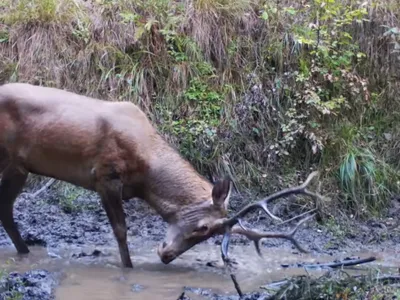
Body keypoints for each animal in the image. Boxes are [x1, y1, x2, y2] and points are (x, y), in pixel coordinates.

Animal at [0, 82, 324, 270]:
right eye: (204, 228)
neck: (146, 176)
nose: (166, 255)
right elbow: (120, 230)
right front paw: (128, 269)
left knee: (6, 210)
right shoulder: (106, 174)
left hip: (19, 166)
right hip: (10, 160)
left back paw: (26, 251)